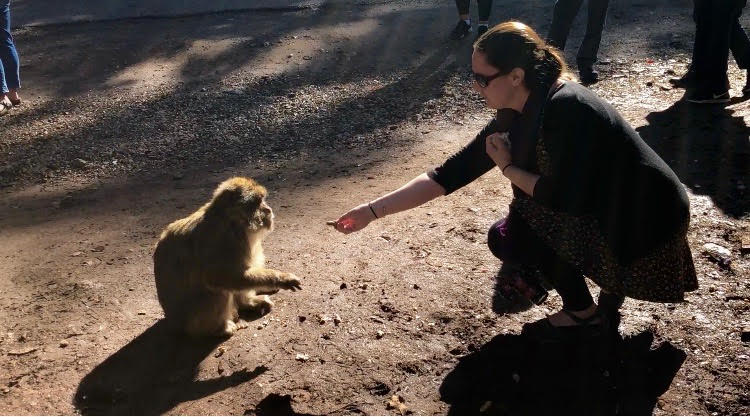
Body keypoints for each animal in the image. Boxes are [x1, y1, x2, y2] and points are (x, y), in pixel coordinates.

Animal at [153, 176, 302, 338]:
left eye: (263, 200)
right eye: (258, 202)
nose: (268, 209)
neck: (234, 223)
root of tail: (174, 323)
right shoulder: (225, 241)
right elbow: (223, 276)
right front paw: (282, 279)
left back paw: (248, 302)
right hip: (194, 323)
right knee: (218, 287)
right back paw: (219, 328)